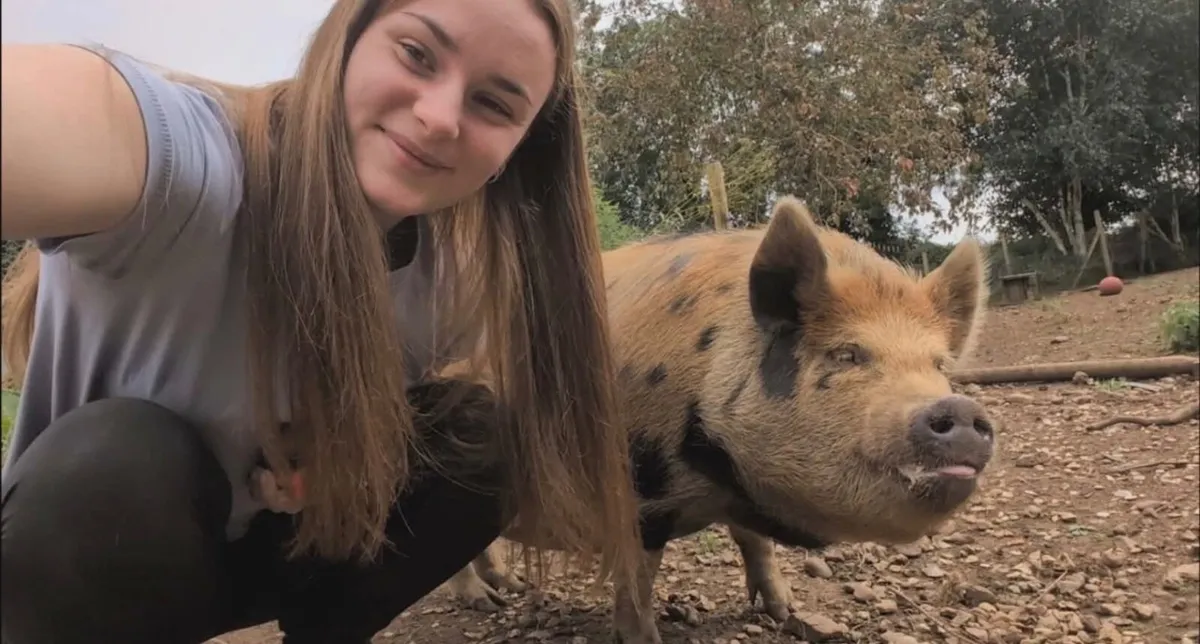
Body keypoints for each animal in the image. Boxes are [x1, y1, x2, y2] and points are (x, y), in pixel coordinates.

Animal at [442, 196, 997, 644]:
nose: (961, 409)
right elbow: (639, 580)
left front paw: (787, 613)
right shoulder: (639, 493)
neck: (714, 481)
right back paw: (485, 603)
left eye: (939, 366)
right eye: (847, 355)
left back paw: (509, 588)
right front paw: (643, 639)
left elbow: (755, 543)